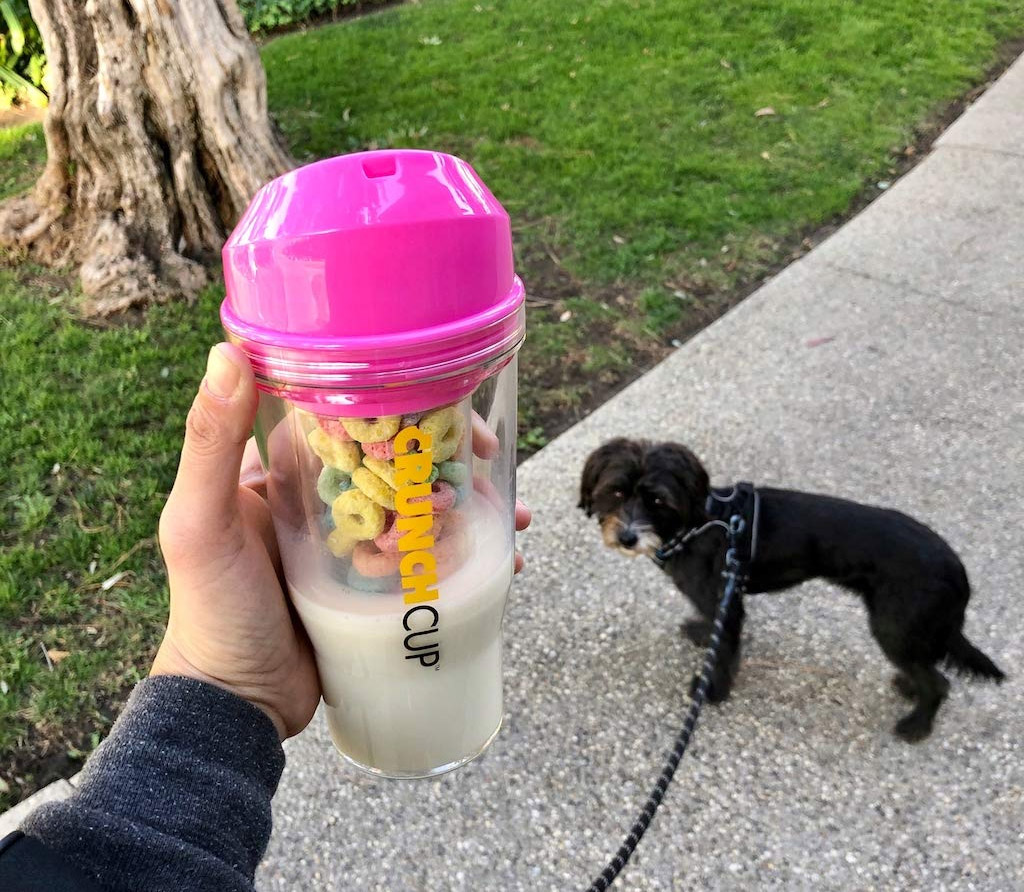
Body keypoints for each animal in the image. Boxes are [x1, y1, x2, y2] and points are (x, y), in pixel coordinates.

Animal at [581, 438, 1003, 741]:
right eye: (616, 492)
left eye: (657, 500)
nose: (627, 536)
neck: (698, 521)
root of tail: (956, 569)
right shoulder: (717, 597)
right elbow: (710, 627)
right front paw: (702, 633)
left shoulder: (726, 600)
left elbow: (724, 652)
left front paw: (712, 690)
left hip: (893, 628)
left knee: (939, 682)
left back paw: (917, 724)